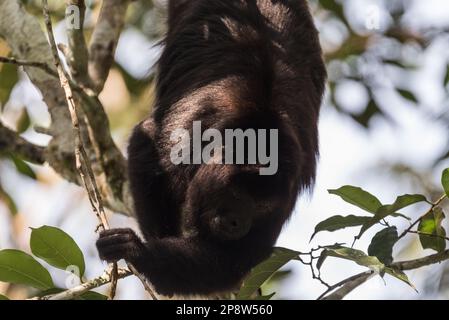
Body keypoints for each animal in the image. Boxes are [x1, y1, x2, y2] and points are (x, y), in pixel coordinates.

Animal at [96, 0, 326, 296]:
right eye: (238, 195)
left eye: (261, 206)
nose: (237, 223)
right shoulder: (186, 137)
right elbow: (145, 143)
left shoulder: (286, 194)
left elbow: (230, 262)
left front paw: (138, 251)